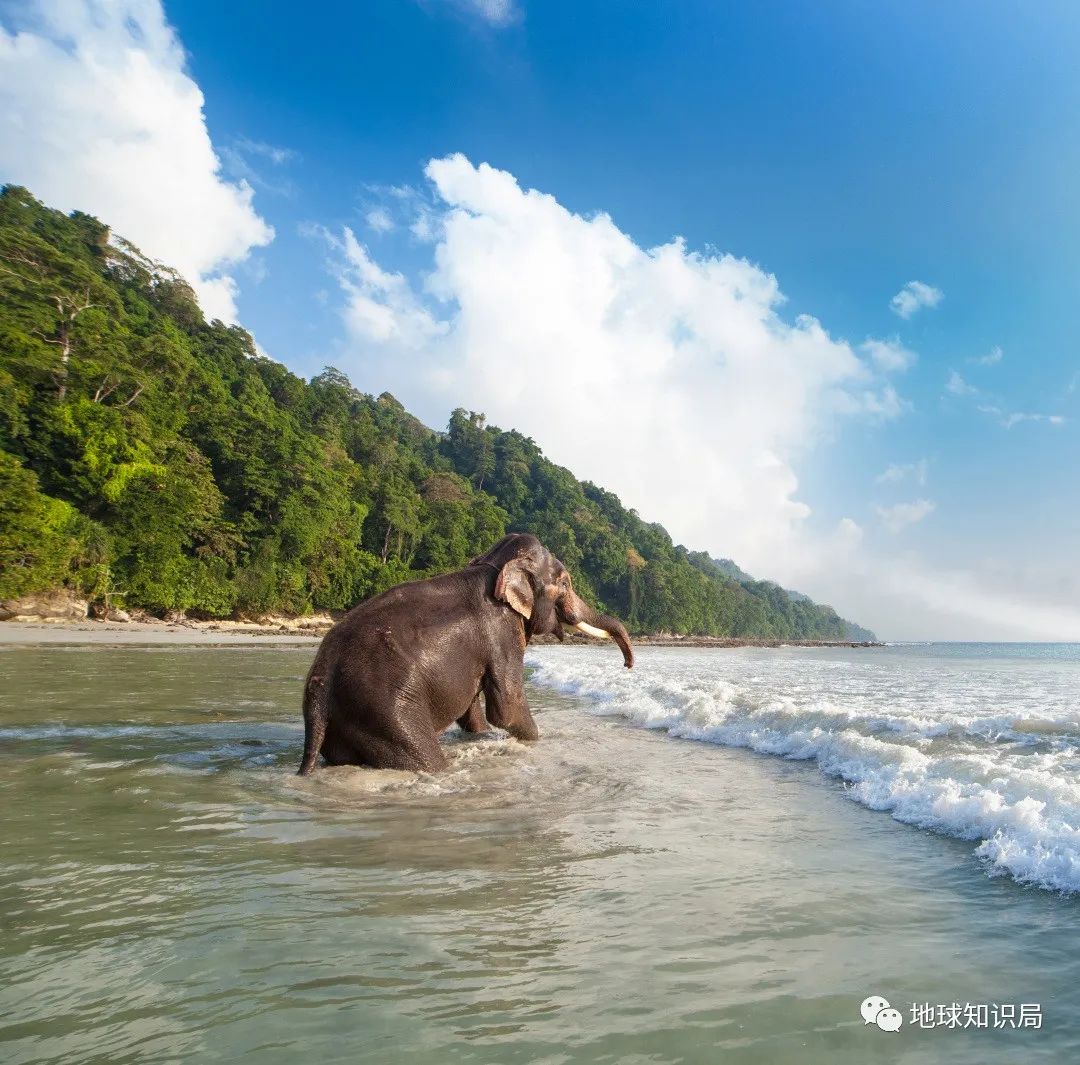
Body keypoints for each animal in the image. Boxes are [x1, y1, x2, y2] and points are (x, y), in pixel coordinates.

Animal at [295, 531, 630, 773]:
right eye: (565, 583)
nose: (627, 665)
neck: (493, 566)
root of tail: (319, 687)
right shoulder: (501, 630)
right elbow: (507, 708)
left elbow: (473, 707)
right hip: (385, 711)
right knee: (424, 758)